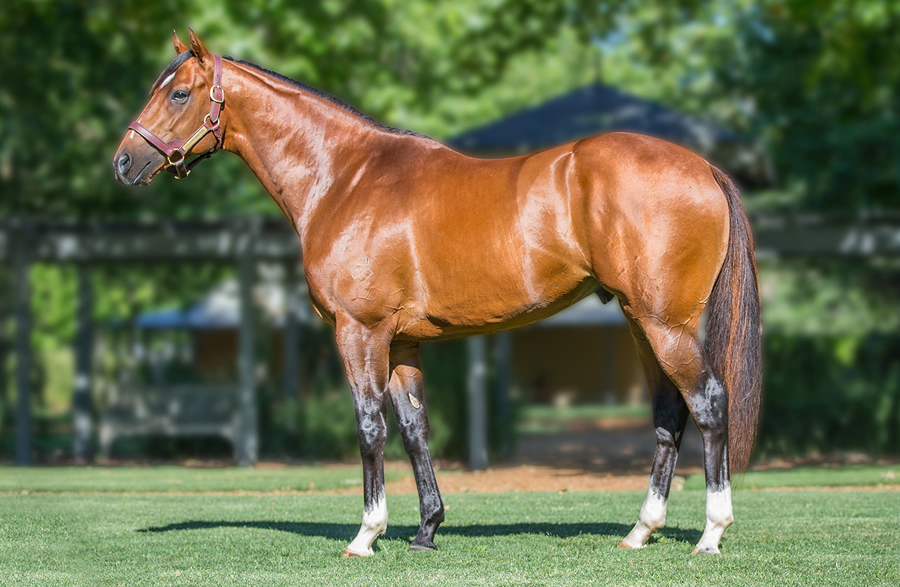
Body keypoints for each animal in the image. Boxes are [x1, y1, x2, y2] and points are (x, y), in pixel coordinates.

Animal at [114, 30, 761, 557]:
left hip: (665, 324)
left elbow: (369, 426)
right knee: (669, 414)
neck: (345, 178)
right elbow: (414, 428)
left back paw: (710, 534)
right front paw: (427, 529)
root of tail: (703, 168)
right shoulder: (401, 342)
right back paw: (640, 531)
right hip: (640, 322)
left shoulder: (359, 332)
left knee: (708, 403)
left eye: (179, 94)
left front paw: (366, 534)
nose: (123, 162)